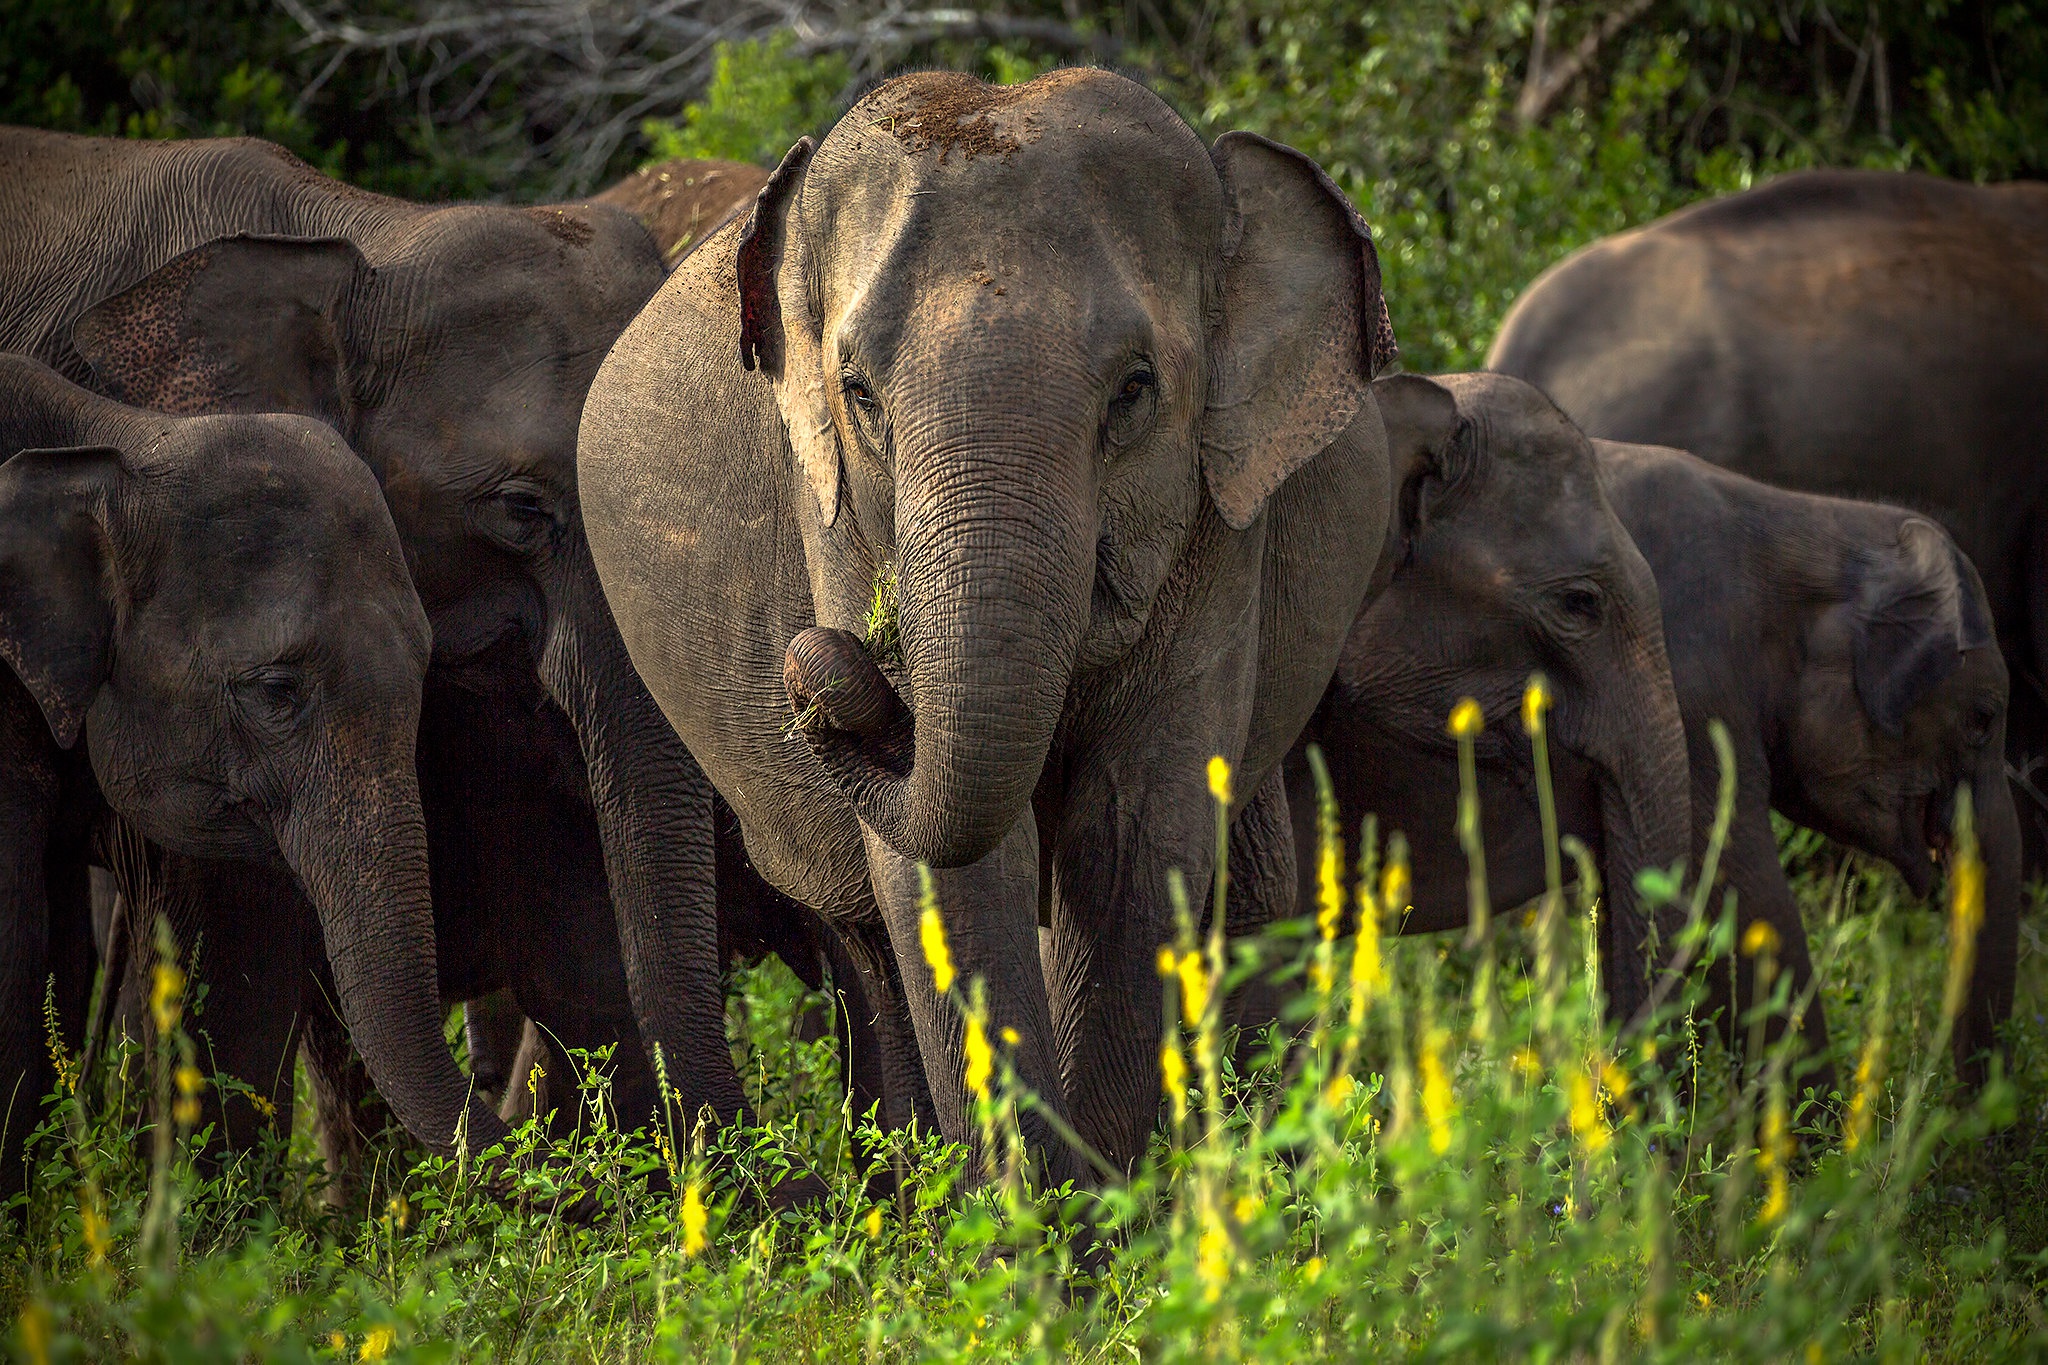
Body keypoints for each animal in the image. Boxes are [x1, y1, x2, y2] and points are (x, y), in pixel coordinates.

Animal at [581, 63, 1409, 1178]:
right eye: (858, 394)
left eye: (1134, 391)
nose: (820, 667)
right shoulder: (835, 512)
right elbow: (947, 872)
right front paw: (1029, 1211)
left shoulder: (1221, 516)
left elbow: (1137, 823)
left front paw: (1100, 1206)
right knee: (863, 932)